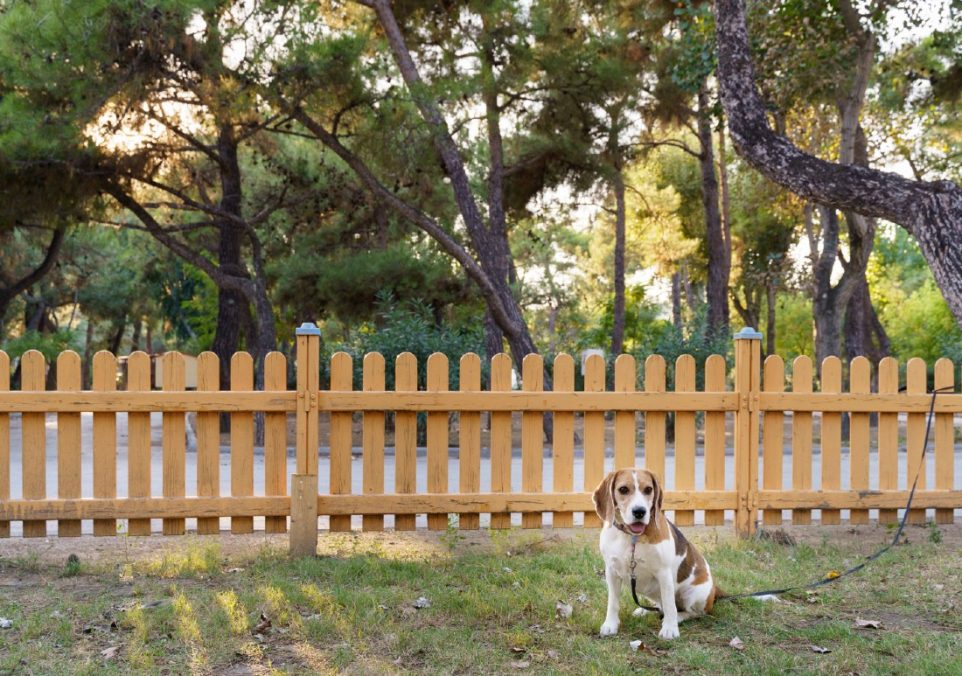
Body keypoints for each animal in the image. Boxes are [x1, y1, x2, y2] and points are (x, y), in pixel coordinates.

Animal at [588, 468, 716, 640]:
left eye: (648, 489)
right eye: (623, 489)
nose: (639, 511)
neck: (632, 537)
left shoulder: (664, 573)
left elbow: (669, 605)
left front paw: (670, 629)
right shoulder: (611, 571)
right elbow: (613, 603)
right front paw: (610, 625)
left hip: (695, 595)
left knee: (691, 612)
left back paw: (678, 617)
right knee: (659, 606)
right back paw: (644, 610)